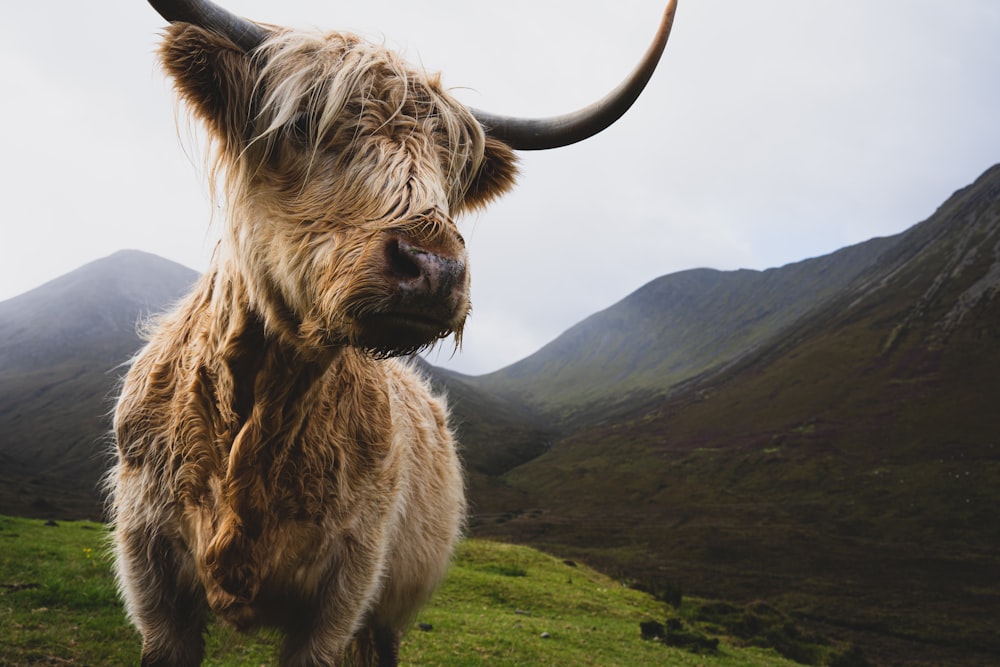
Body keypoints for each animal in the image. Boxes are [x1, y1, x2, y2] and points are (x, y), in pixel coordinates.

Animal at [105, 1, 676, 667]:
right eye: (303, 122)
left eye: (452, 170)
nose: (434, 269)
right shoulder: (152, 581)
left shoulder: (345, 591)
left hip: (388, 611)